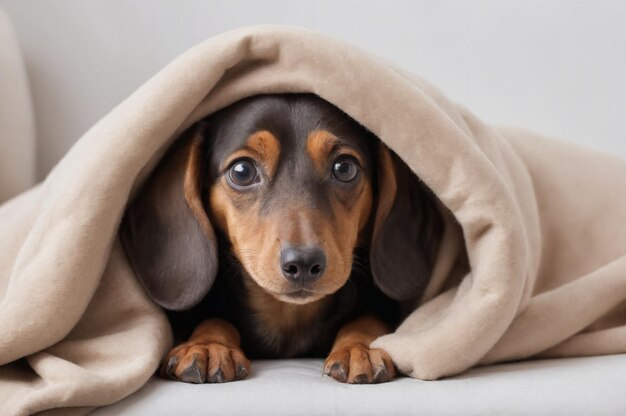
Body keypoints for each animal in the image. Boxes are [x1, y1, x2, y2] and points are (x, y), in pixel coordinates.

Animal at [120, 93, 438, 384]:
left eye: (344, 168)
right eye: (242, 171)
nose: (304, 263)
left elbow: (366, 318)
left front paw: (359, 348)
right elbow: (213, 317)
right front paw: (208, 344)